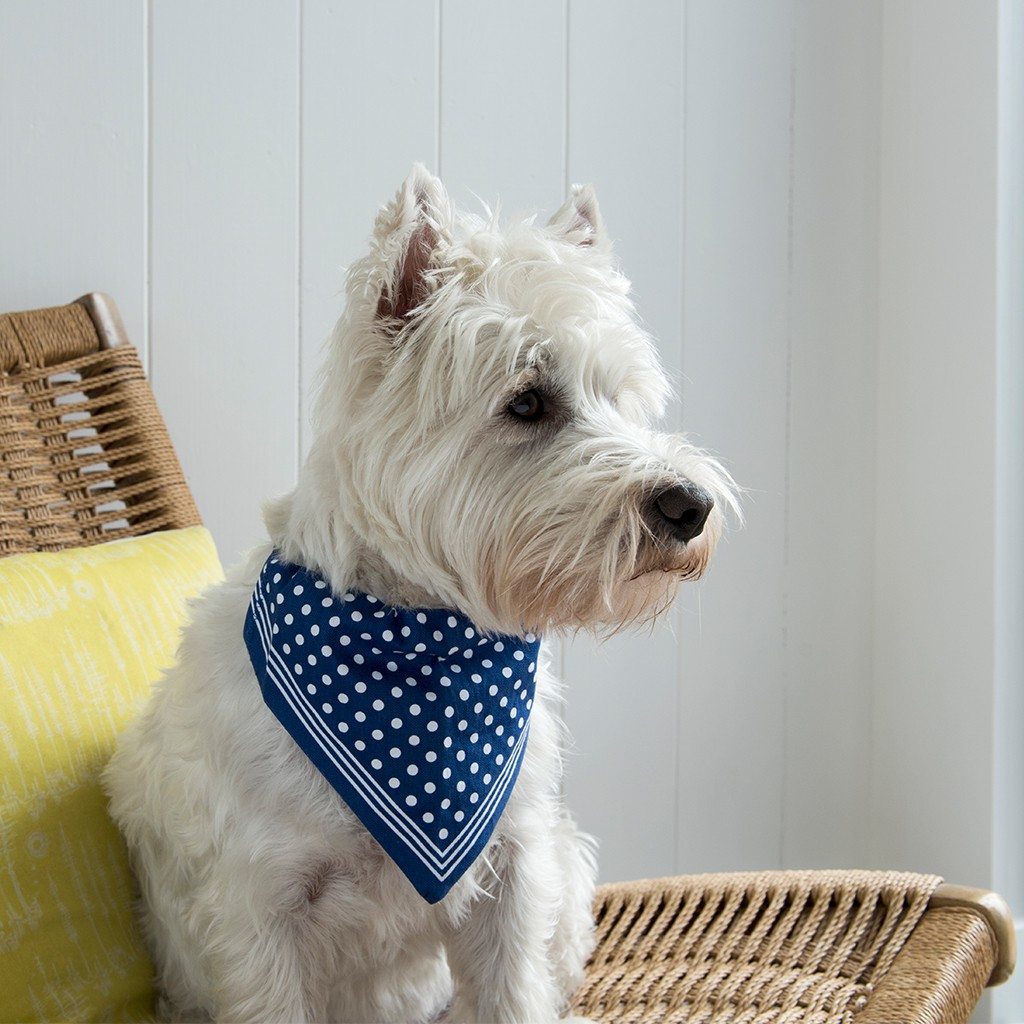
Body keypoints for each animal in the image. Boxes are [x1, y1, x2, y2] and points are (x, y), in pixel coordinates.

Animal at [105, 167, 737, 1024]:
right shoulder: (255, 915)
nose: (690, 506)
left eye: (622, 396)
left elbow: (513, 996)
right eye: (528, 400)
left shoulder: (513, 869)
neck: (421, 644)